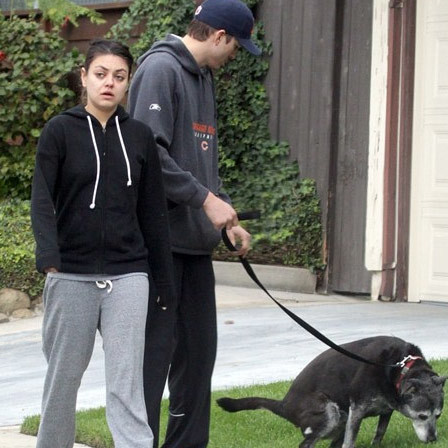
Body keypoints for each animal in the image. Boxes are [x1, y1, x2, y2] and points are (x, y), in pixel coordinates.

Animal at [217, 336, 444, 448]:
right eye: (422, 416)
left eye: (438, 416)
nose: (433, 440)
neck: (399, 366)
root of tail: (284, 405)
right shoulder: (357, 409)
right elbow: (350, 442)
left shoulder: (386, 409)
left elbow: (379, 433)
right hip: (330, 413)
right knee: (305, 444)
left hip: (340, 418)